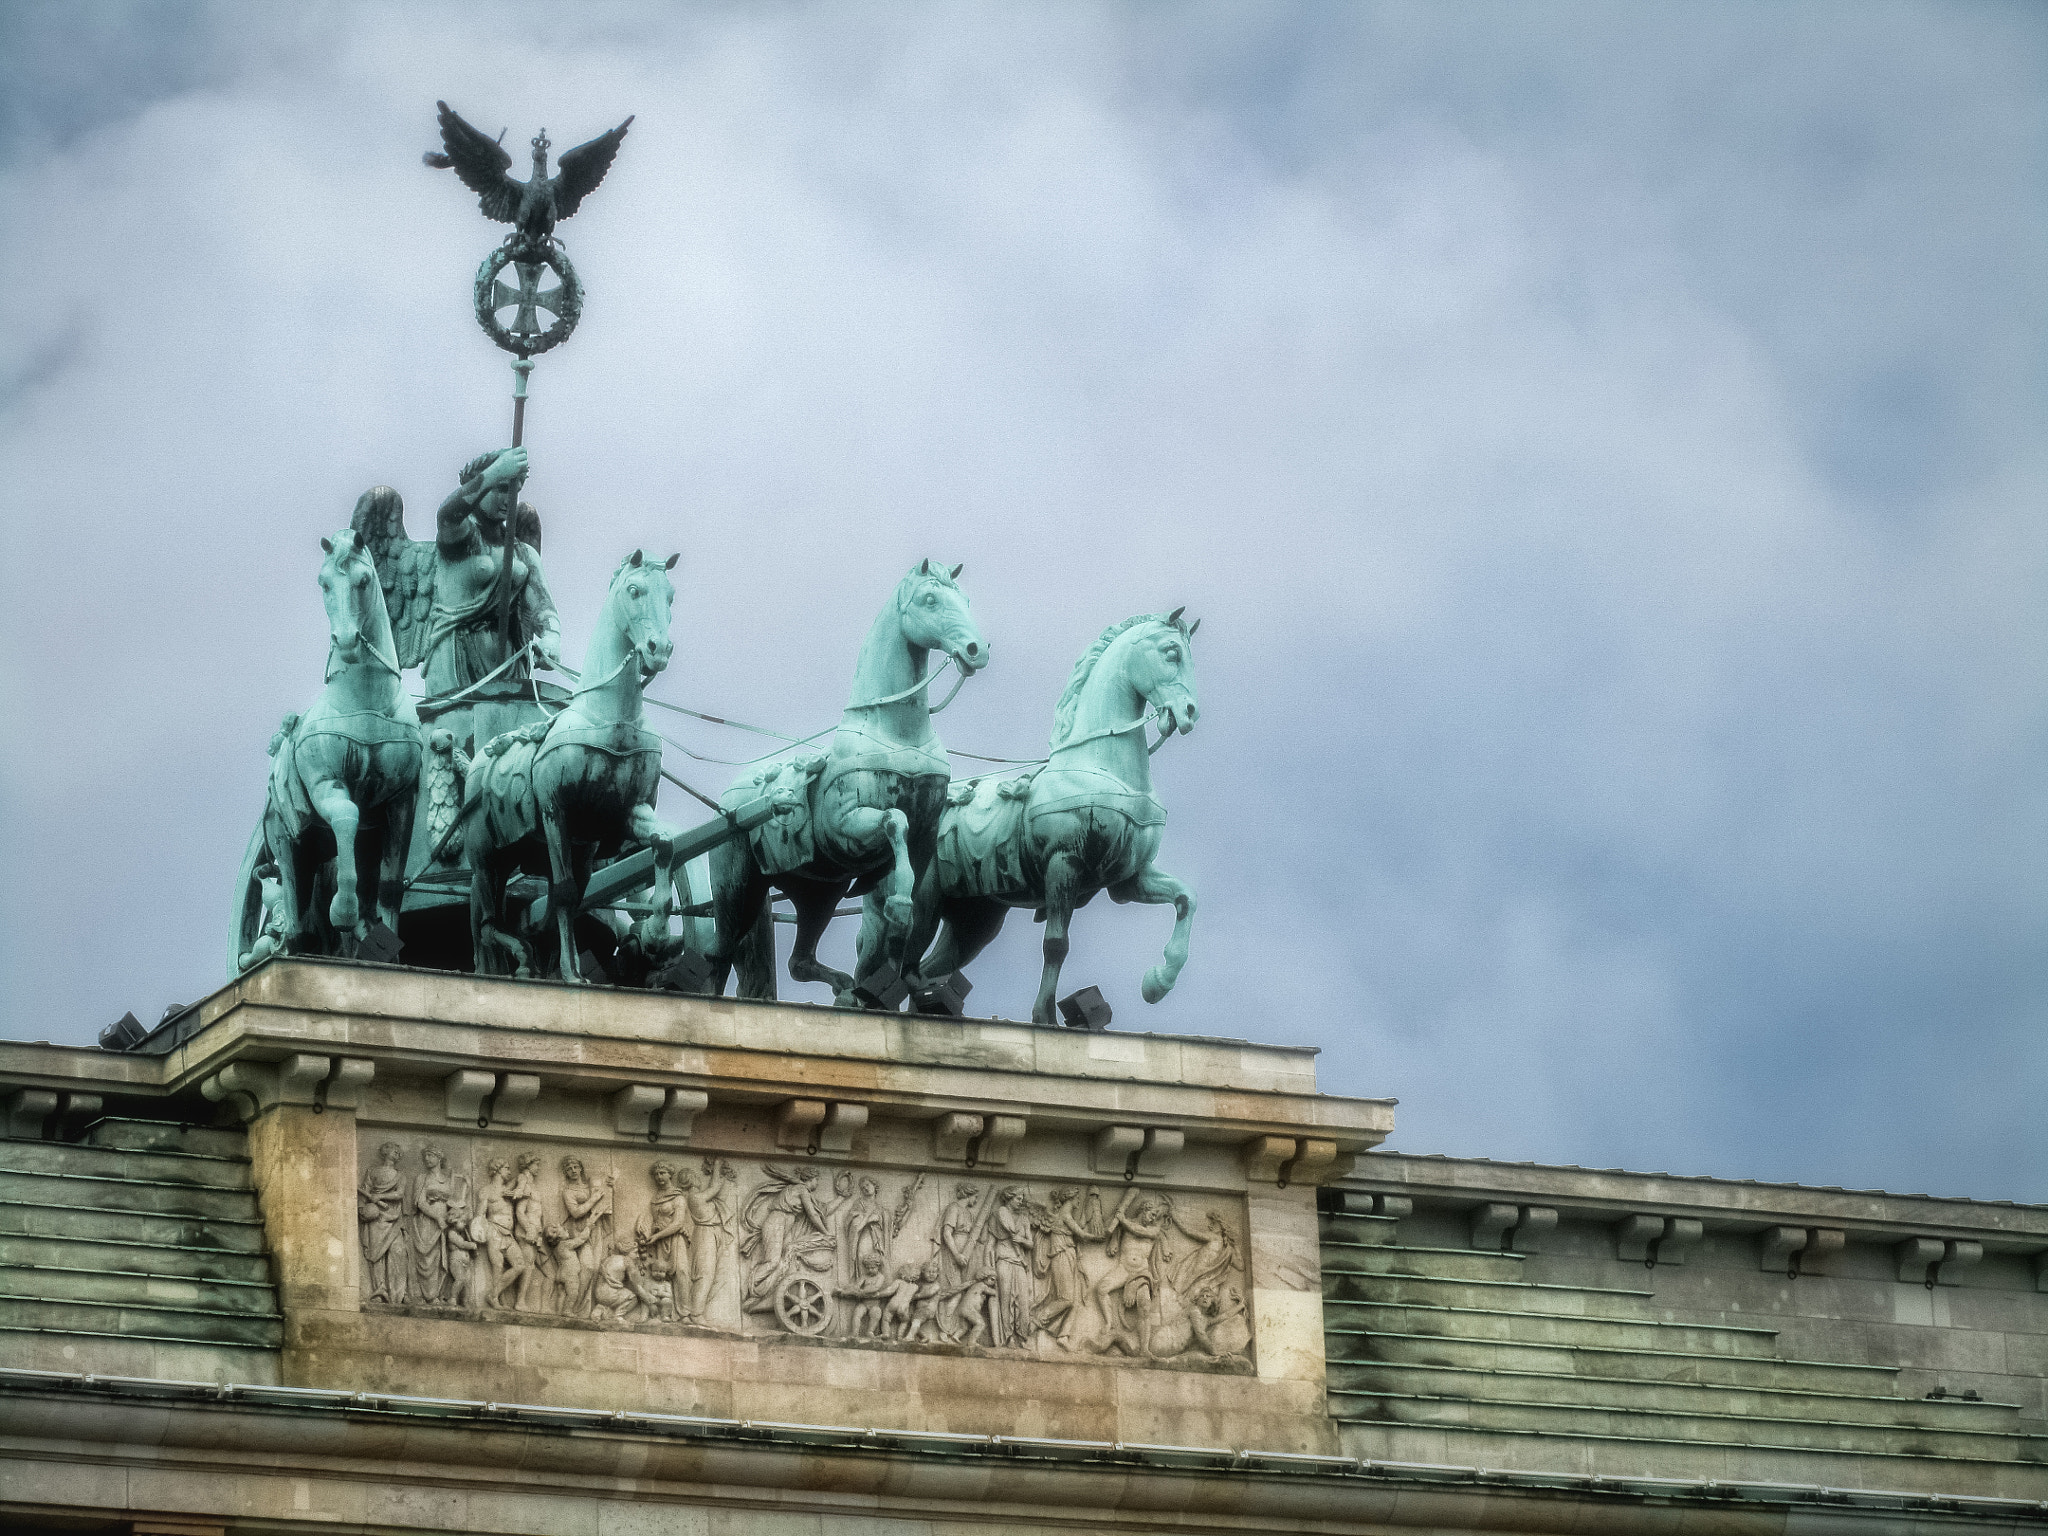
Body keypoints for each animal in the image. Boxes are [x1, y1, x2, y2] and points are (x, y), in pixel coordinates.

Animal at [230, 528, 421, 962]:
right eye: (324, 583)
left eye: (364, 581)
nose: (347, 640)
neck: (365, 701)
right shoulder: (326, 786)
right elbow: (348, 814)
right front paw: (343, 910)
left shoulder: (402, 798)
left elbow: (390, 886)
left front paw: (385, 942)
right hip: (289, 842)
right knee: (298, 911)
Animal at [460, 552, 675, 987]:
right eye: (634, 590)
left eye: (671, 595)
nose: (659, 649)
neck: (611, 717)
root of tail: (477, 762)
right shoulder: (555, 810)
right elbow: (563, 892)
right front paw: (572, 974)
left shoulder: (628, 813)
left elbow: (663, 845)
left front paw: (656, 936)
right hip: (486, 858)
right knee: (487, 923)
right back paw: (521, 956)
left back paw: (531, 954)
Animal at [708, 561, 987, 1003]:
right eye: (930, 599)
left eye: (967, 600)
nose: (977, 650)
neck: (897, 734)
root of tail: (730, 800)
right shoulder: (846, 826)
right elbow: (894, 820)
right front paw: (898, 906)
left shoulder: (925, 837)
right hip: (737, 888)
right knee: (718, 953)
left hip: (818, 894)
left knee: (799, 962)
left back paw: (846, 987)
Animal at [901, 610, 1196, 1024]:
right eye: (1171, 652)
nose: (1189, 713)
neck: (1101, 766)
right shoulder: (1064, 862)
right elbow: (1056, 943)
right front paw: (1044, 1016)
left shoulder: (1128, 879)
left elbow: (1186, 898)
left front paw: (1158, 982)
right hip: (926, 899)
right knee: (900, 962)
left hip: (974, 922)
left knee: (927, 969)